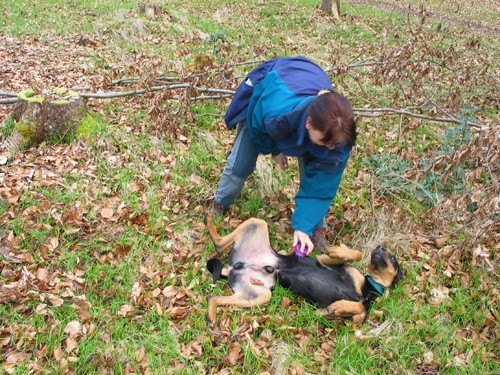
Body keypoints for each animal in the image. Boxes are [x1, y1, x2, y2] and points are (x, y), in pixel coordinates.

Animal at [205, 214, 404, 328]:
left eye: (393, 258)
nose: (380, 247)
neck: (368, 289)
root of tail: (235, 266)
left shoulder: (332, 315)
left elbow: (358, 308)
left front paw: (341, 306)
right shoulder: (323, 261)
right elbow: (355, 254)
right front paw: (335, 250)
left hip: (258, 295)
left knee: (213, 296)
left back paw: (211, 316)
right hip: (258, 223)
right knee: (219, 244)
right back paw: (209, 220)